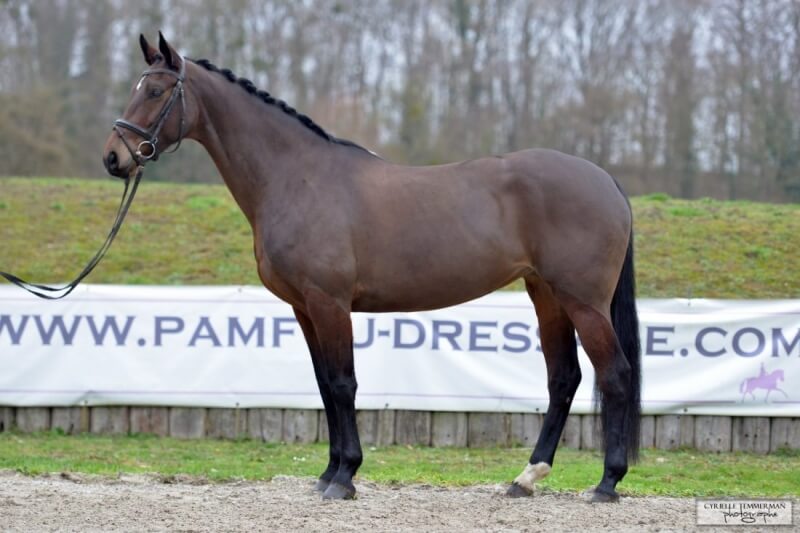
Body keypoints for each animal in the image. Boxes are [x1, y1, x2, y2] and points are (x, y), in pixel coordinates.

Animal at [103, 33, 641, 503]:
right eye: (135, 88)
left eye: (155, 91)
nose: (114, 157)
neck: (297, 178)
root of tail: (606, 180)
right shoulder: (304, 309)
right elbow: (325, 386)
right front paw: (328, 474)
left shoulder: (330, 303)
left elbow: (344, 384)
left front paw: (345, 478)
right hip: (546, 295)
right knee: (563, 379)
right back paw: (526, 478)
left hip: (583, 301)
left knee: (614, 374)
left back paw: (606, 484)